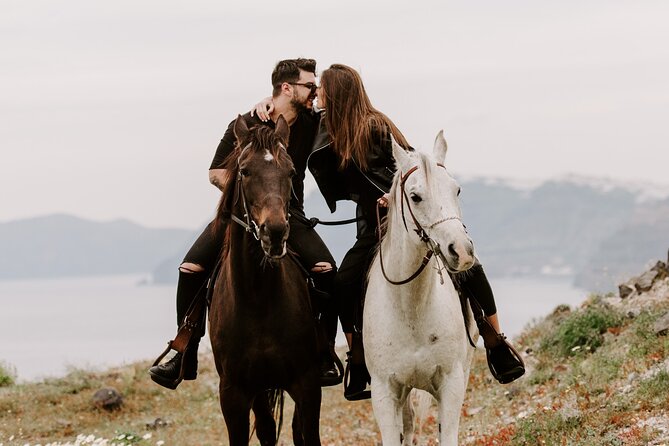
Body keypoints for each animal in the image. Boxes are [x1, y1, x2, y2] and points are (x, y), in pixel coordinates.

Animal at [210, 116, 322, 446]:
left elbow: (308, 435)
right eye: (245, 171)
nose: (275, 232)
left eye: (291, 171)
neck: (257, 297)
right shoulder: (234, 394)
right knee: (267, 429)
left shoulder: (308, 383)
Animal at [362, 132, 478, 446]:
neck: (410, 309)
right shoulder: (385, 393)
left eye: (457, 190)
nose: (461, 252)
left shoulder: (451, 384)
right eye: (415, 197)